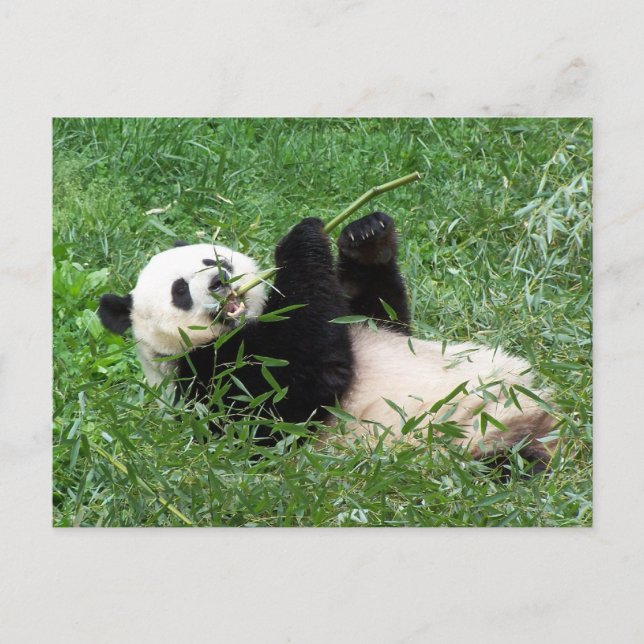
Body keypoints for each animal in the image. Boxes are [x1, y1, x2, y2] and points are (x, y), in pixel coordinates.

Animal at [98, 212, 557, 469]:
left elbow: (382, 319)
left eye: (211, 257)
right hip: (453, 446)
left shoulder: (364, 323)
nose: (218, 280)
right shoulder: (209, 379)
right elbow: (297, 383)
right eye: (179, 291)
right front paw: (299, 240)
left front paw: (366, 235)